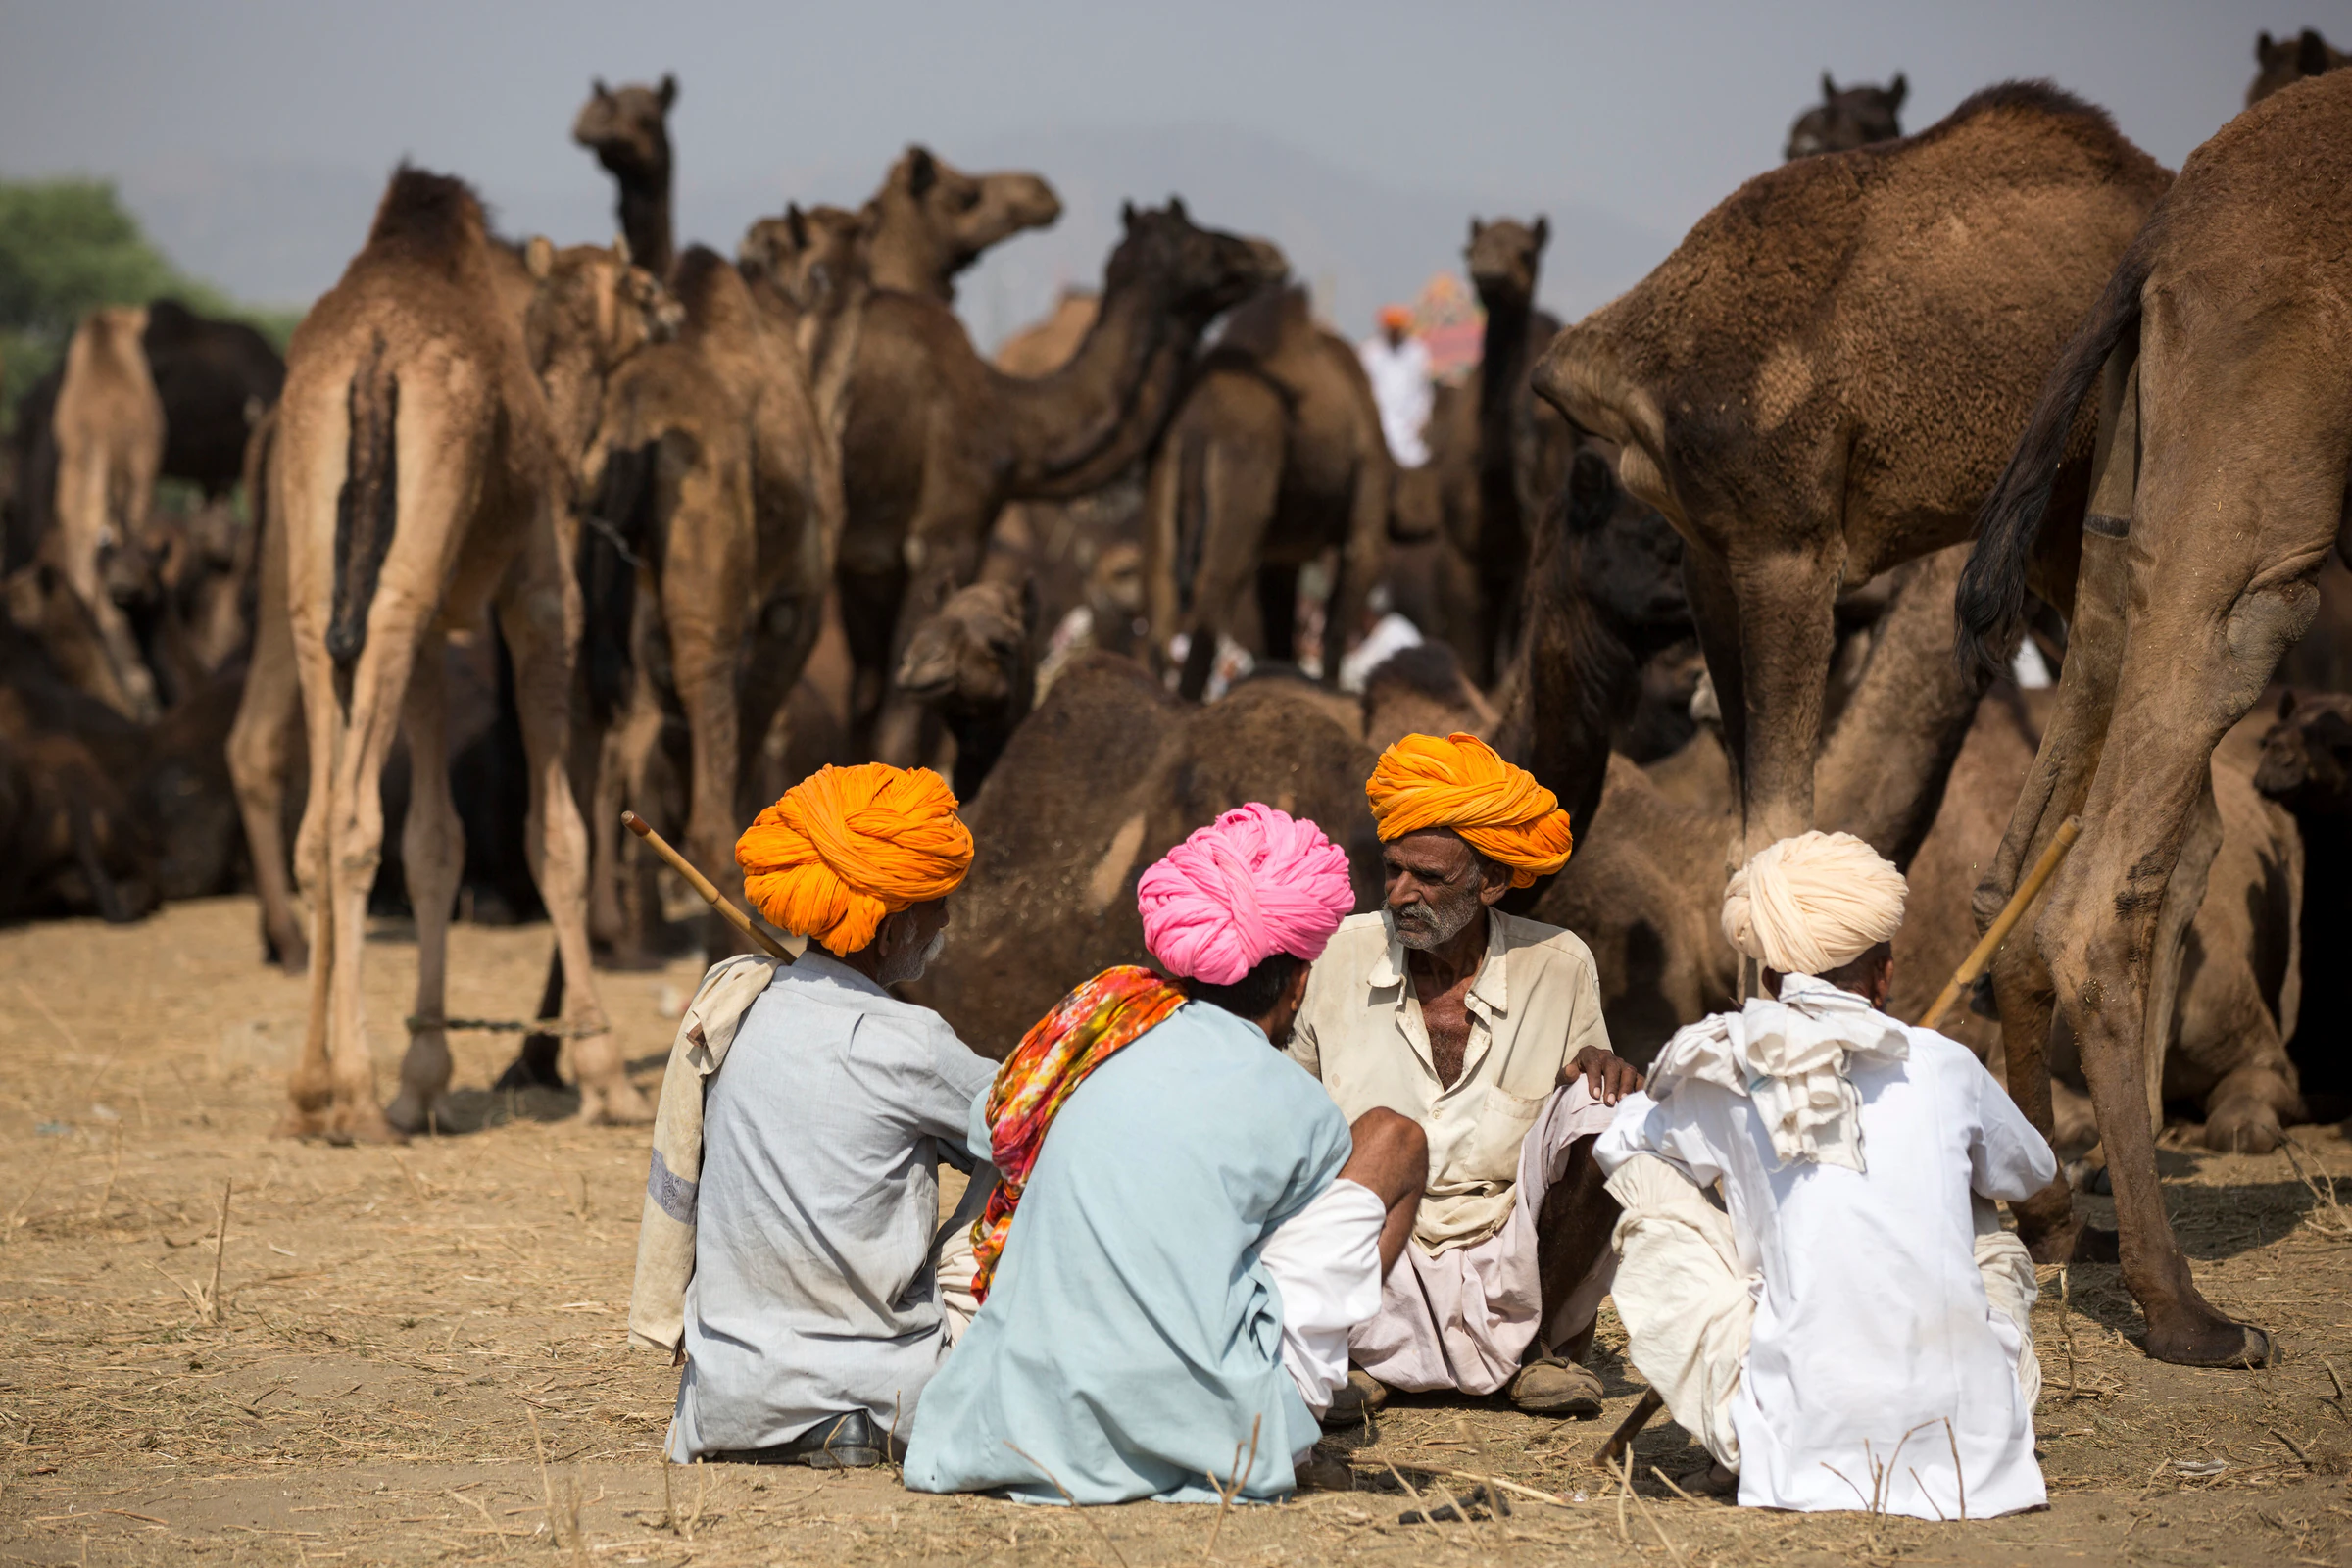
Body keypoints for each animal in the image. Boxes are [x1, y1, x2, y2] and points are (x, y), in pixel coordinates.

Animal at [270, 168, 670, 1141]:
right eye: (638, 283)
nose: (671, 308)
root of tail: (371, 356)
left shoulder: (430, 637)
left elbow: (434, 843)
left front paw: (422, 1077)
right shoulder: (540, 594)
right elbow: (554, 836)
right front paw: (606, 1077)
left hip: (325, 568)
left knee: (318, 825)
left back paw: (310, 1093)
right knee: (349, 823)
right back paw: (353, 1096)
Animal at [837, 201, 1285, 757]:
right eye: (1199, 242)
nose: (1266, 255)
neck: (1011, 422)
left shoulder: (867, 563)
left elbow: (864, 700)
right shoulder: (945, 535)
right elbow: (900, 715)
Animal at [1141, 283, 1390, 699]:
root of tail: (1198, 418)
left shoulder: (1282, 555)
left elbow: (1280, 617)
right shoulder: (1365, 506)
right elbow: (1339, 614)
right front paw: (1329, 691)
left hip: (1165, 470)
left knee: (1161, 582)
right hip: (1245, 466)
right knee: (1216, 584)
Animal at [1951, 72, 2352, 1367]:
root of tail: (2167, 228)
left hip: (2132, 495)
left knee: (2024, 875)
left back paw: (2051, 1215)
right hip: (2261, 517)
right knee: (2104, 897)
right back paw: (2184, 1308)